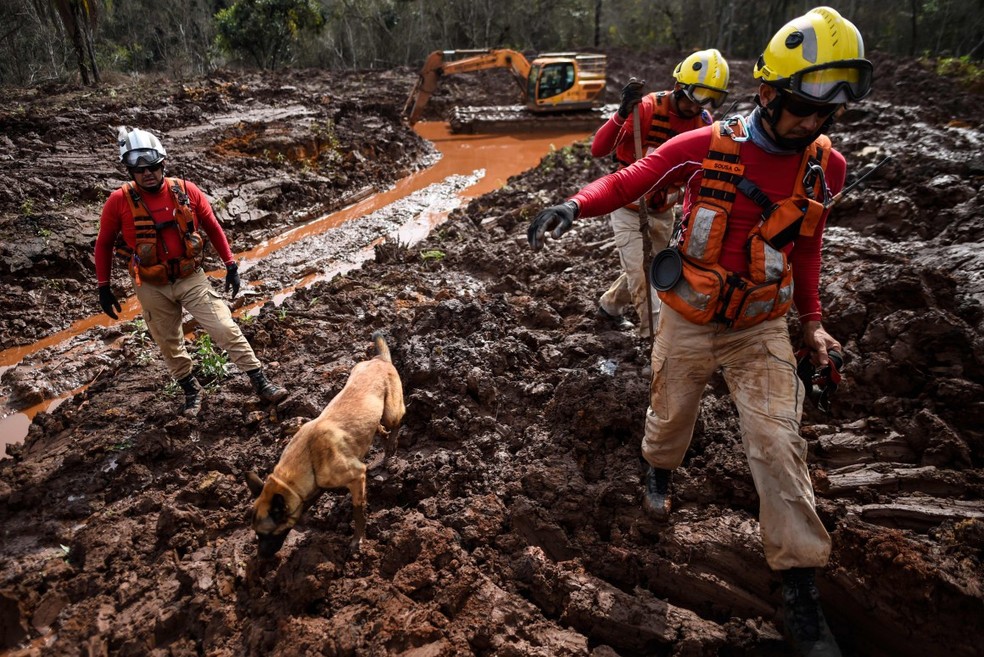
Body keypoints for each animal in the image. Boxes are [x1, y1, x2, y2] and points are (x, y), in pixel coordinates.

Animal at [248, 330, 406, 556]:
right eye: (256, 534)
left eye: (265, 534)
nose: (260, 557)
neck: (308, 460)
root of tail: (379, 359)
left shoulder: (357, 477)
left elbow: (358, 512)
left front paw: (357, 540)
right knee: (379, 429)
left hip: (391, 412)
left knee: (397, 421)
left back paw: (391, 447)